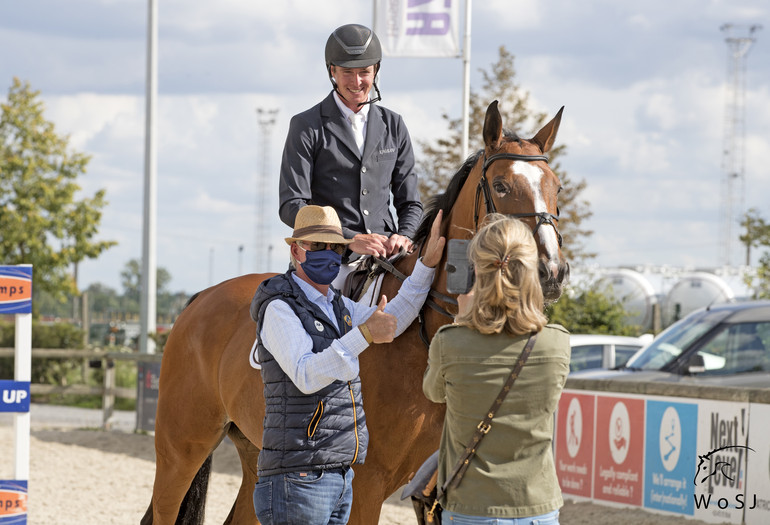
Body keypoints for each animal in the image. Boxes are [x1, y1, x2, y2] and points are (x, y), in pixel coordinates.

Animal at [141, 100, 568, 520]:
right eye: (501, 186)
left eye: (556, 187)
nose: (551, 272)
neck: (420, 336)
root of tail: (201, 298)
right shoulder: (366, 485)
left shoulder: (434, 492)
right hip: (181, 449)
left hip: (258, 453)